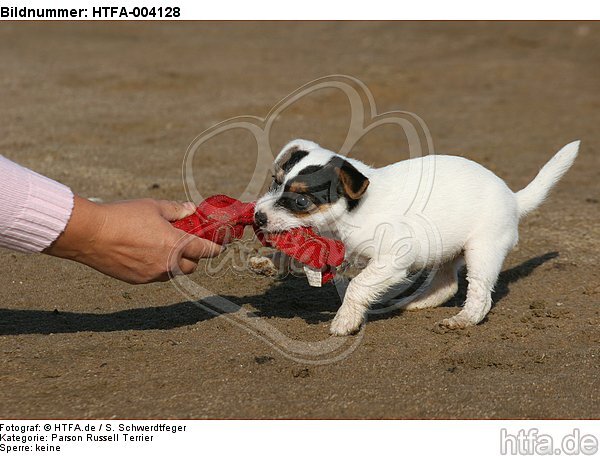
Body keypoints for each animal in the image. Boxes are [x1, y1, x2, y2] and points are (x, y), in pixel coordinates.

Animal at [254, 139, 580, 334]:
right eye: (275, 183)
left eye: (301, 201)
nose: (258, 216)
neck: (352, 210)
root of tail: (513, 198)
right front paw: (269, 263)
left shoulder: (391, 261)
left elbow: (358, 286)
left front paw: (345, 320)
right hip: (445, 249)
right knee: (447, 284)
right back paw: (416, 302)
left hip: (483, 250)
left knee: (480, 295)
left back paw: (462, 320)